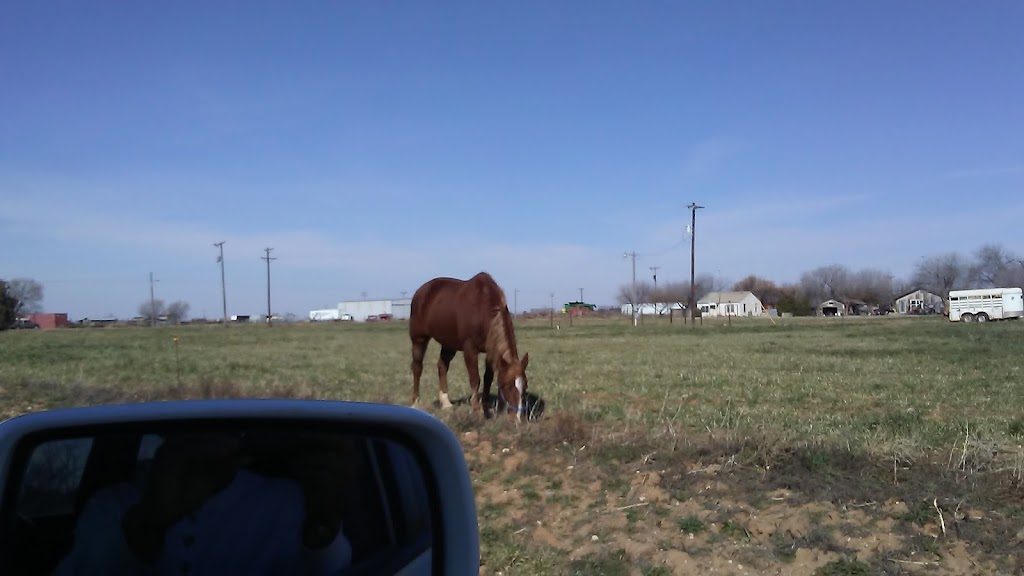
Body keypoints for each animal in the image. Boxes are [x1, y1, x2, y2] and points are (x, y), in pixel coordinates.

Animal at [407, 270, 532, 414]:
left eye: (525, 386)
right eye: (507, 385)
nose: (518, 416)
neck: (482, 308)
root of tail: (421, 291)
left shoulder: (491, 350)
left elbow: (488, 378)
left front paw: (485, 406)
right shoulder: (470, 349)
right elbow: (475, 378)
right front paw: (477, 409)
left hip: (449, 344)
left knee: (442, 366)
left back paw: (446, 403)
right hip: (418, 338)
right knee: (417, 367)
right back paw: (415, 403)